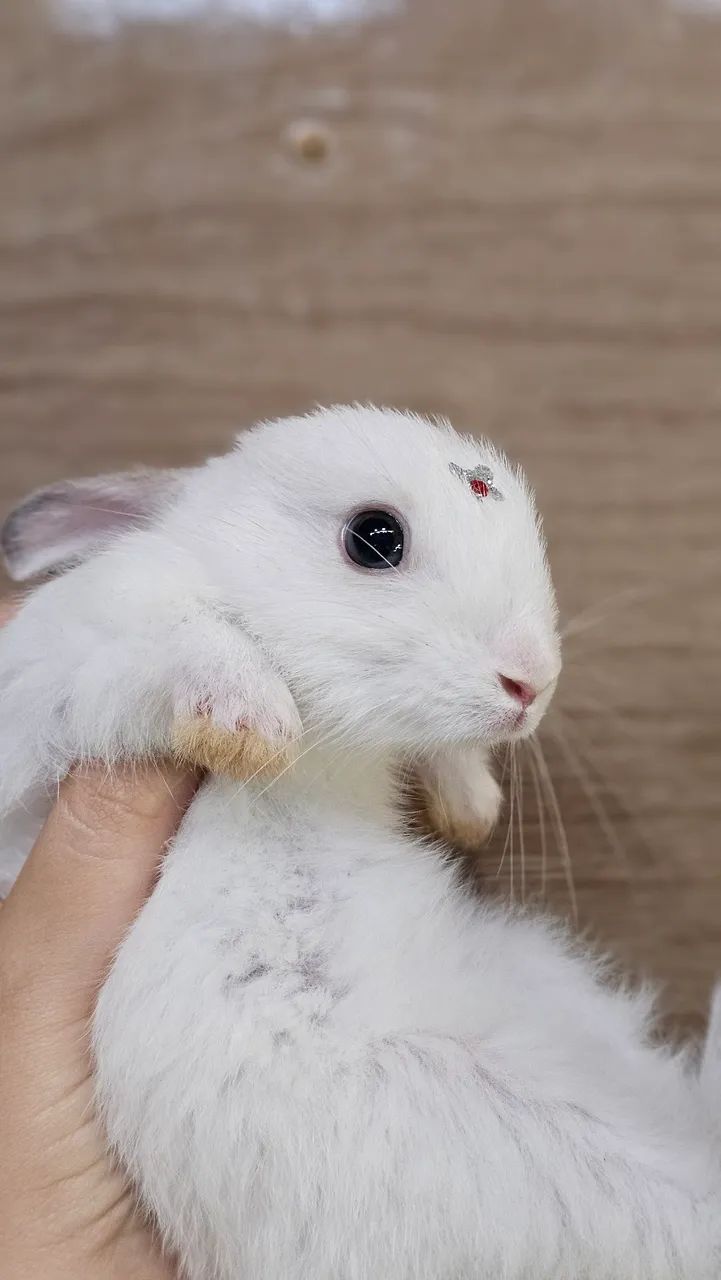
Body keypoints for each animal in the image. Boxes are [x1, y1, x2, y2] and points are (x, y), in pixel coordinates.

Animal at [0, 404, 719, 1280]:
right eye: (375, 538)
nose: (531, 681)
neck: (334, 756)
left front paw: (469, 806)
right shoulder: (63, 673)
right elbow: (184, 637)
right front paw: (255, 726)